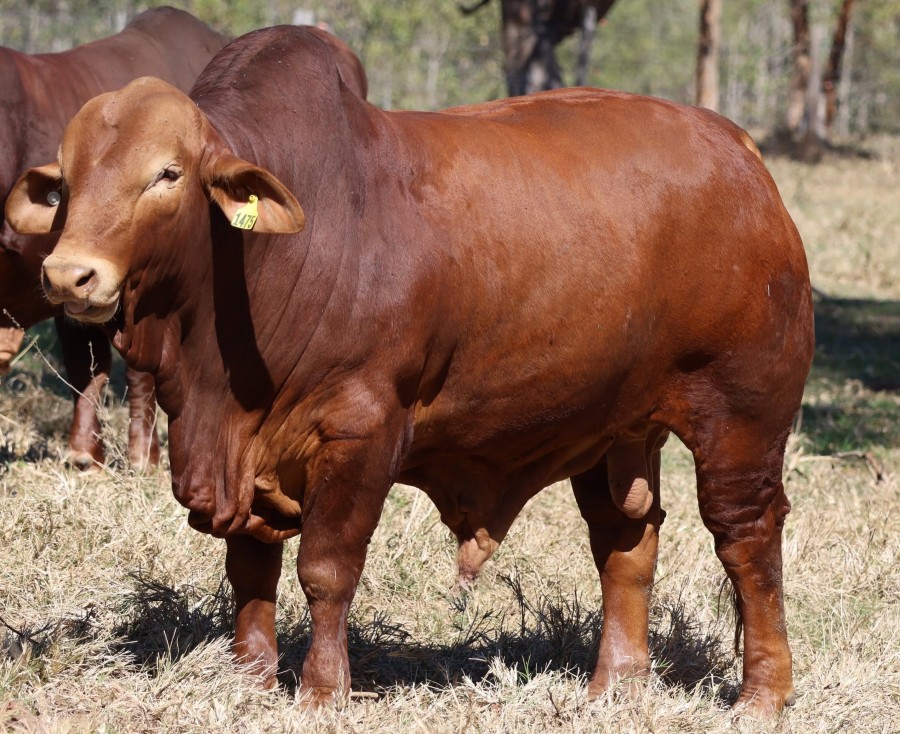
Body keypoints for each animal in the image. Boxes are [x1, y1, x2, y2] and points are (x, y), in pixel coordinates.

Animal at [0, 6, 228, 469]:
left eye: (162, 175)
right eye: (64, 184)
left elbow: (138, 371)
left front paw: (143, 455)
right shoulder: (65, 288)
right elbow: (85, 365)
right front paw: (84, 452)